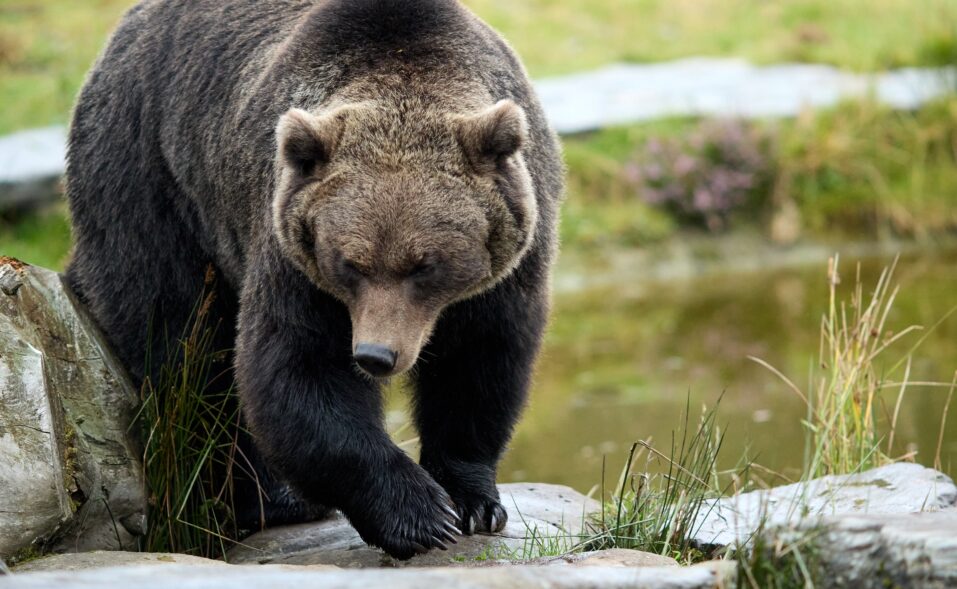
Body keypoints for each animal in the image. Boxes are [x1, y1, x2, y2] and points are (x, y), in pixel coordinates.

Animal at [65, 0, 562, 559]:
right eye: (351, 262)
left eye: (425, 265)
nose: (375, 355)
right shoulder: (293, 253)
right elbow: (298, 368)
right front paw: (419, 514)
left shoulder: (508, 265)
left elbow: (479, 363)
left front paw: (474, 502)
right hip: (148, 175)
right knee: (182, 351)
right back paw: (272, 500)